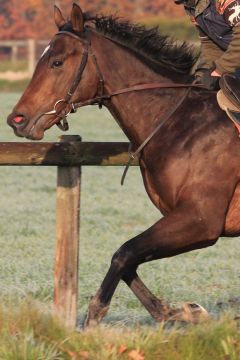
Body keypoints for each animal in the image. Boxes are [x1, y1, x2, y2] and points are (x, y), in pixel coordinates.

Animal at [7, 3, 240, 324]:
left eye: (57, 62)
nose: (17, 120)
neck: (179, 121)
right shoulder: (179, 217)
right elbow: (128, 258)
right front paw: (179, 312)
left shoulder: (201, 219)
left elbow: (124, 253)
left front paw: (91, 320)